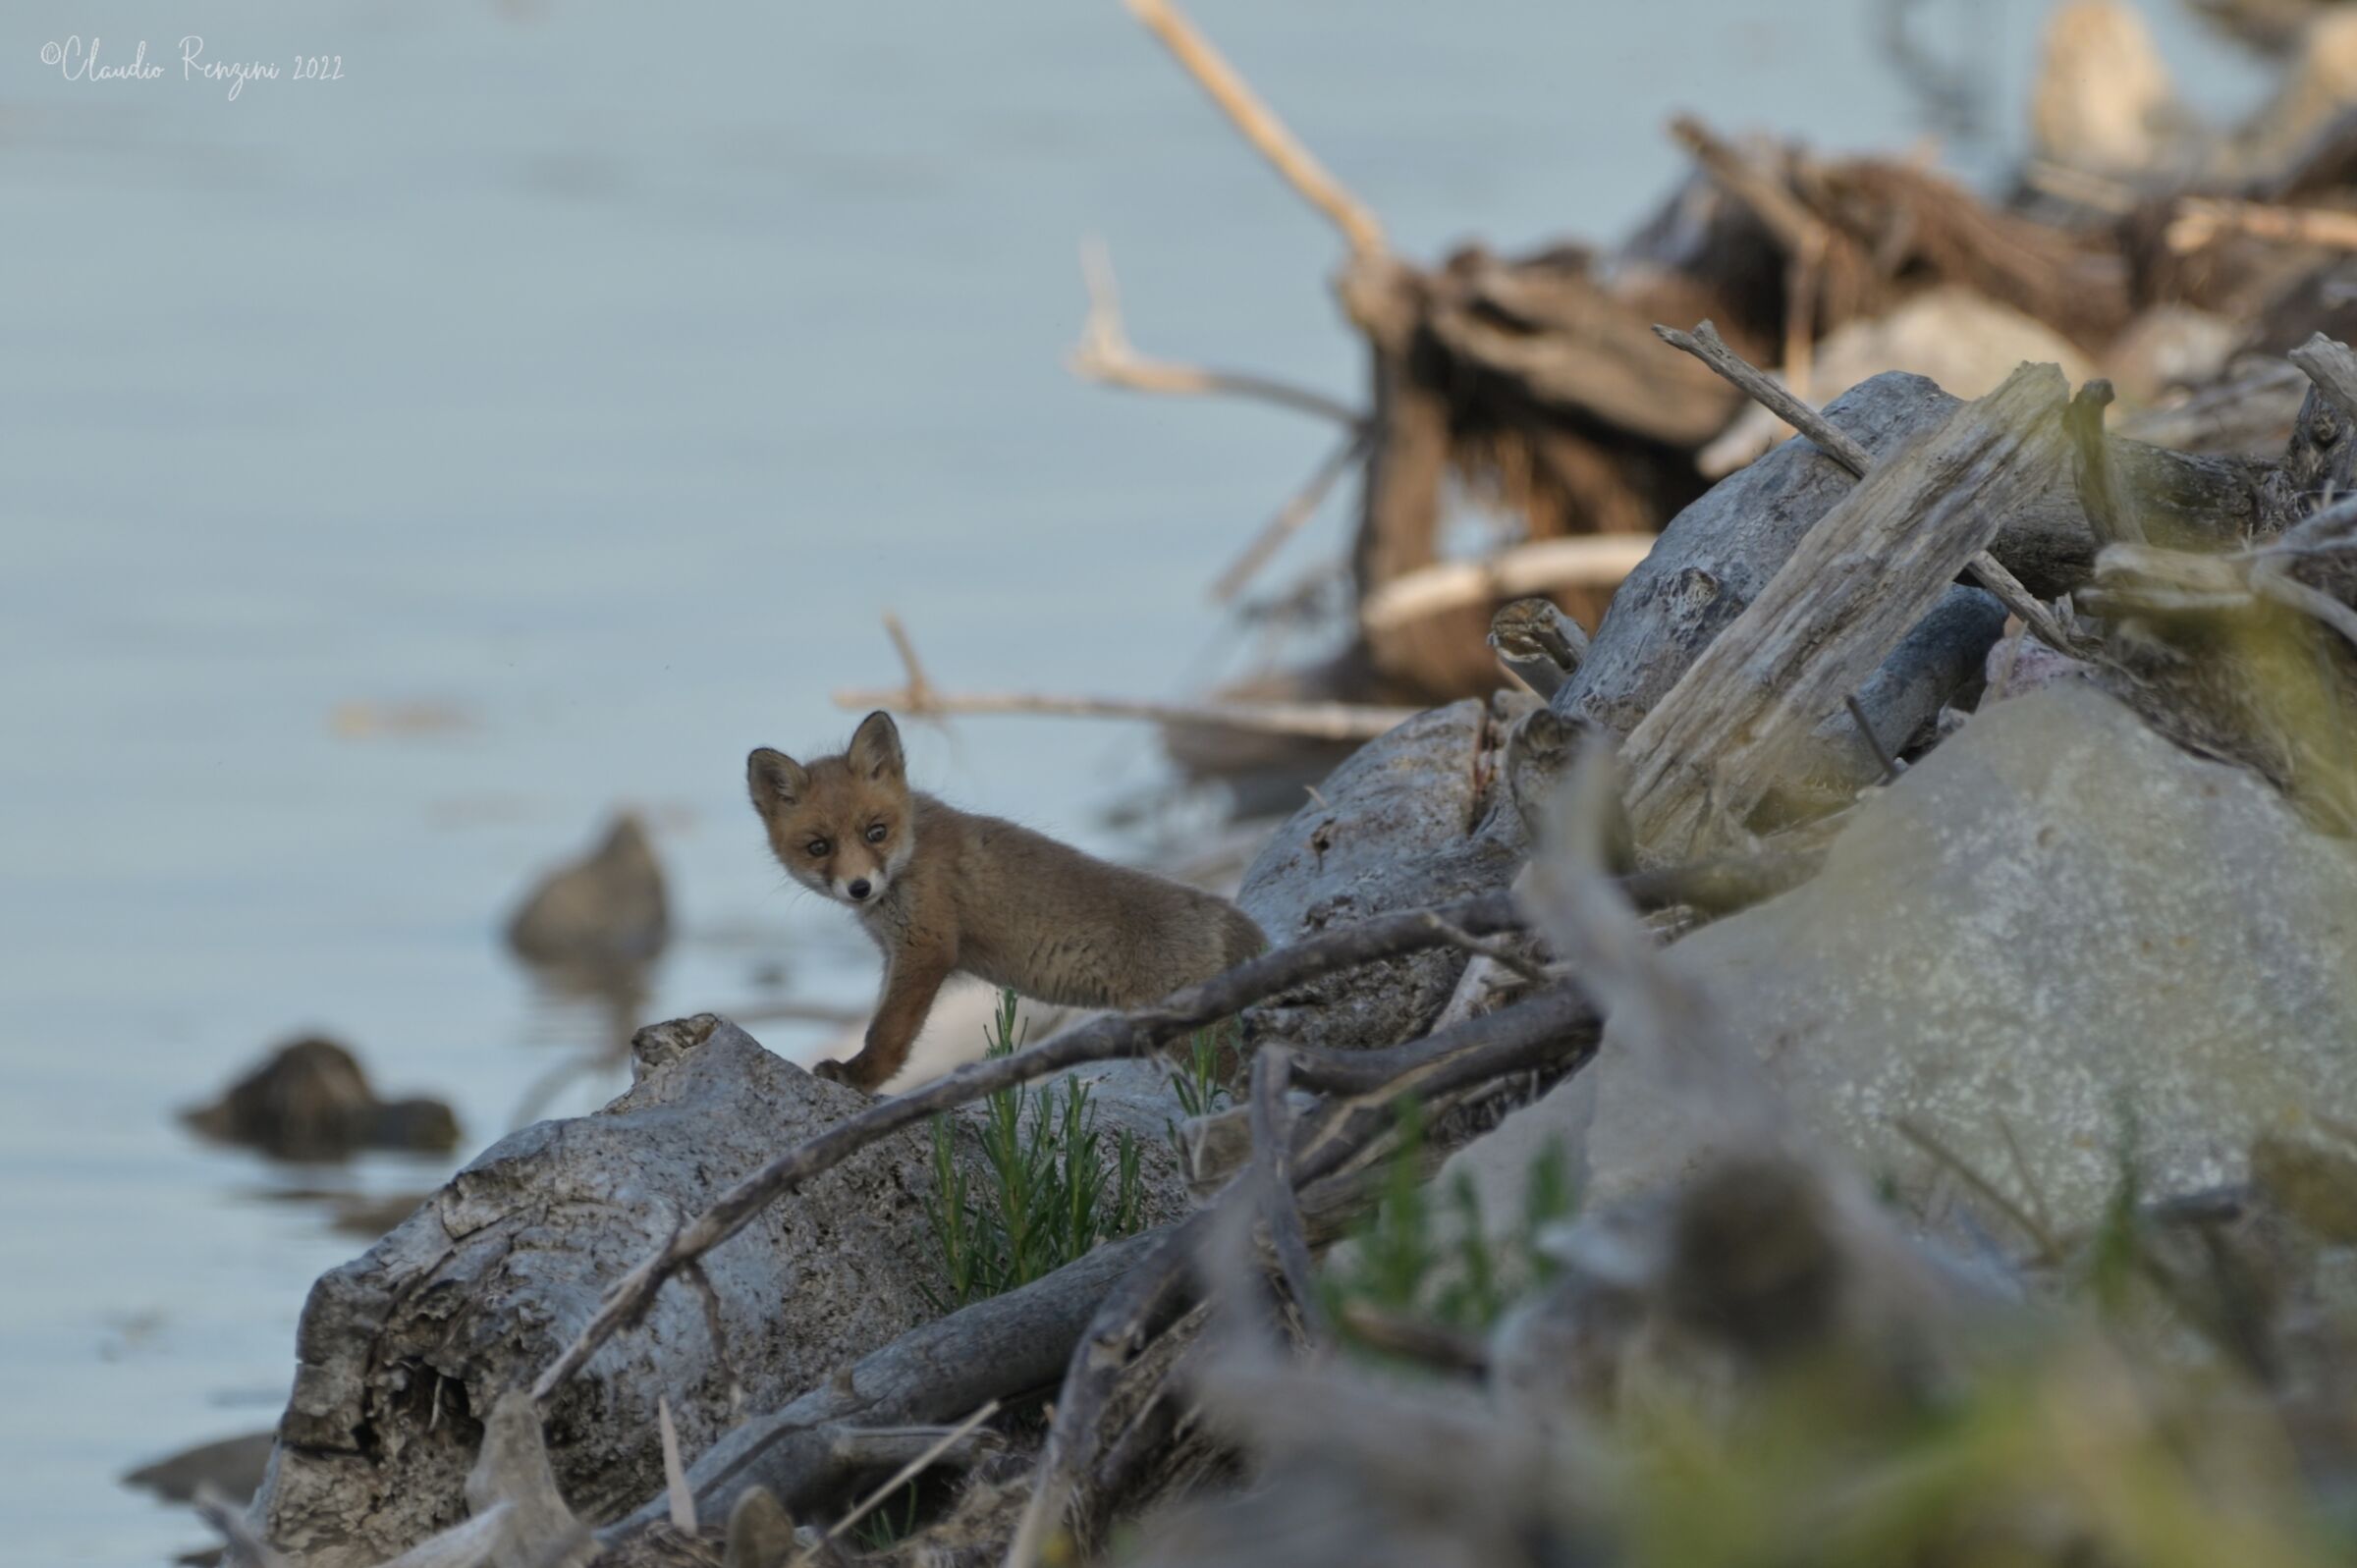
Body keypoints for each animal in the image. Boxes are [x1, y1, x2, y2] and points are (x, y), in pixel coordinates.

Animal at [747, 710, 1267, 1091]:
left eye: (876, 832)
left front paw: (861, 1077)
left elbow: (887, 1032)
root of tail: (1223, 909)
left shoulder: (927, 947)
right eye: (819, 847)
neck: (912, 850)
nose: (859, 887)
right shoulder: (893, 953)